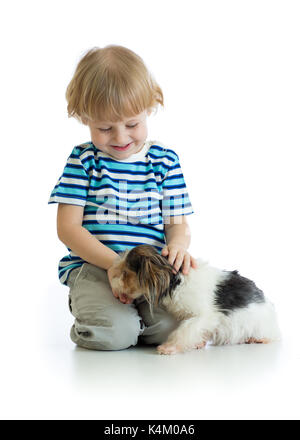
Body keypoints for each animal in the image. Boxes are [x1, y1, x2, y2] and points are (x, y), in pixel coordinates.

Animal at [110, 244, 282, 354]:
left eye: (125, 273)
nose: (111, 279)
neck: (175, 281)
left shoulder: (204, 316)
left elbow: (185, 330)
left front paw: (169, 347)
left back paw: (260, 339)